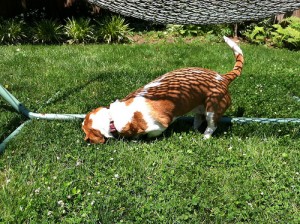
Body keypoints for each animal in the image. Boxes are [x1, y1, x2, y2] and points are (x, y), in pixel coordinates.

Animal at [82, 35, 244, 143]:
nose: (85, 140)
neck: (112, 117)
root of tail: (223, 77)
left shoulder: (158, 126)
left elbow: (151, 133)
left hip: (213, 110)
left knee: (212, 125)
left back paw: (205, 137)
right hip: (199, 107)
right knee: (198, 118)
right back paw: (193, 129)